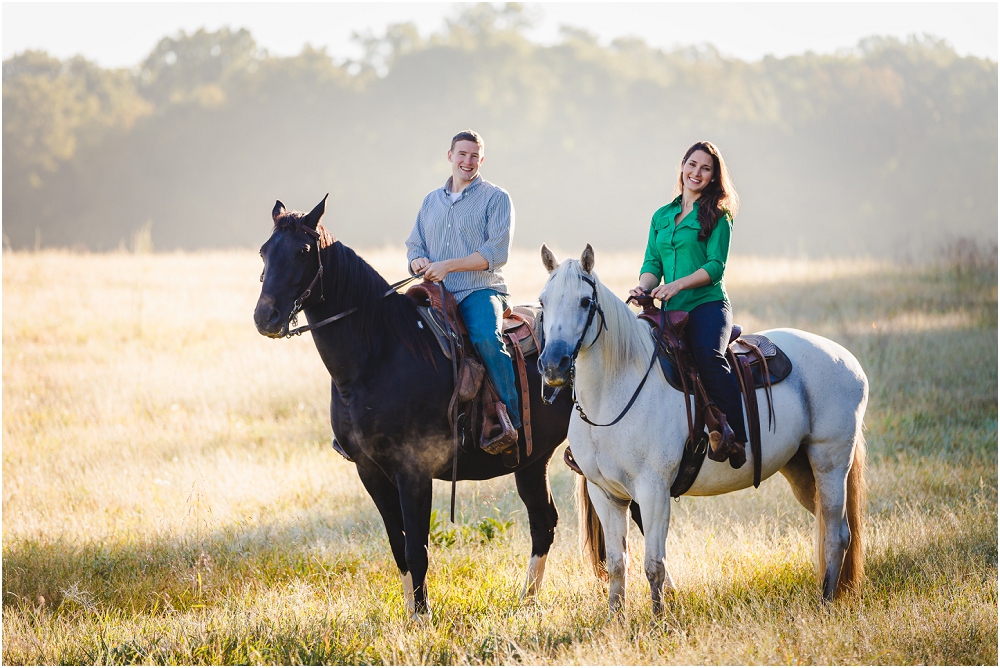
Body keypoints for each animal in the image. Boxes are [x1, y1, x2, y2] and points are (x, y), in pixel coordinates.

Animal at [254, 196, 576, 620]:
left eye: (303, 251)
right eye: (264, 251)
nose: (266, 317)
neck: (378, 356)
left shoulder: (414, 472)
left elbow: (416, 547)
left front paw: (423, 618)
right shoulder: (370, 472)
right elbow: (398, 547)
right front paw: (411, 614)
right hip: (531, 460)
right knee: (543, 522)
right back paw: (527, 601)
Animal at [540, 245, 868, 616]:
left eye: (585, 302)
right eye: (543, 302)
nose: (552, 365)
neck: (612, 395)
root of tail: (847, 358)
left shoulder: (653, 492)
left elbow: (654, 565)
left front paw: (658, 621)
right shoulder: (605, 493)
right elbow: (617, 563)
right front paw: (615, 620)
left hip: (830, 461)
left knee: (838, 533)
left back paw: (826, 600)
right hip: (801, 469)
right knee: (829, 526)